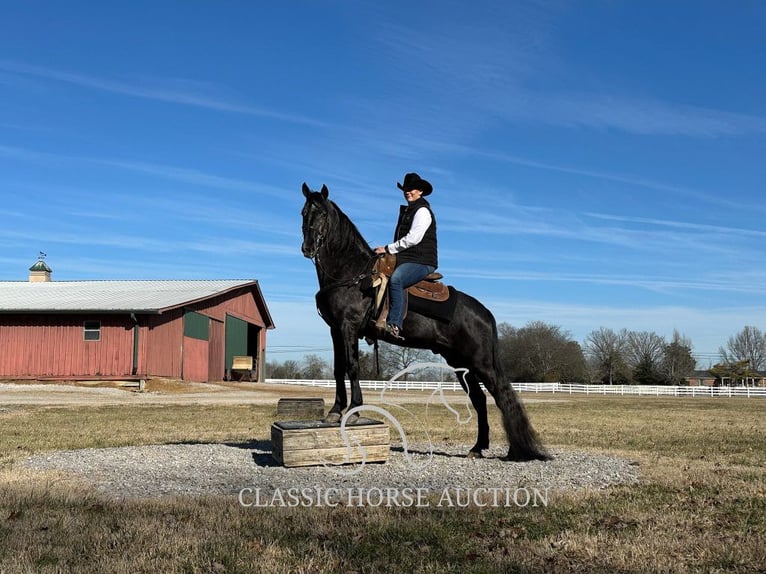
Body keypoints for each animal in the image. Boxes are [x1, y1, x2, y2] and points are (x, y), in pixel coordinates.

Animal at [302, 184, 552, 464]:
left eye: (322, 214)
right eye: (304, 212)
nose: (308, 247)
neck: (353, 274)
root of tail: (484, 313)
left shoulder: (349, 327)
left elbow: (352, 368)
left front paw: (354, 411)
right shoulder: (336, 330)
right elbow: (338, 370)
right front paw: (335, 411)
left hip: (481, 363)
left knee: (502, 397)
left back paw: (515, 450)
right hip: (460, 364)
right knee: (478, 400)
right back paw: (477, 447)